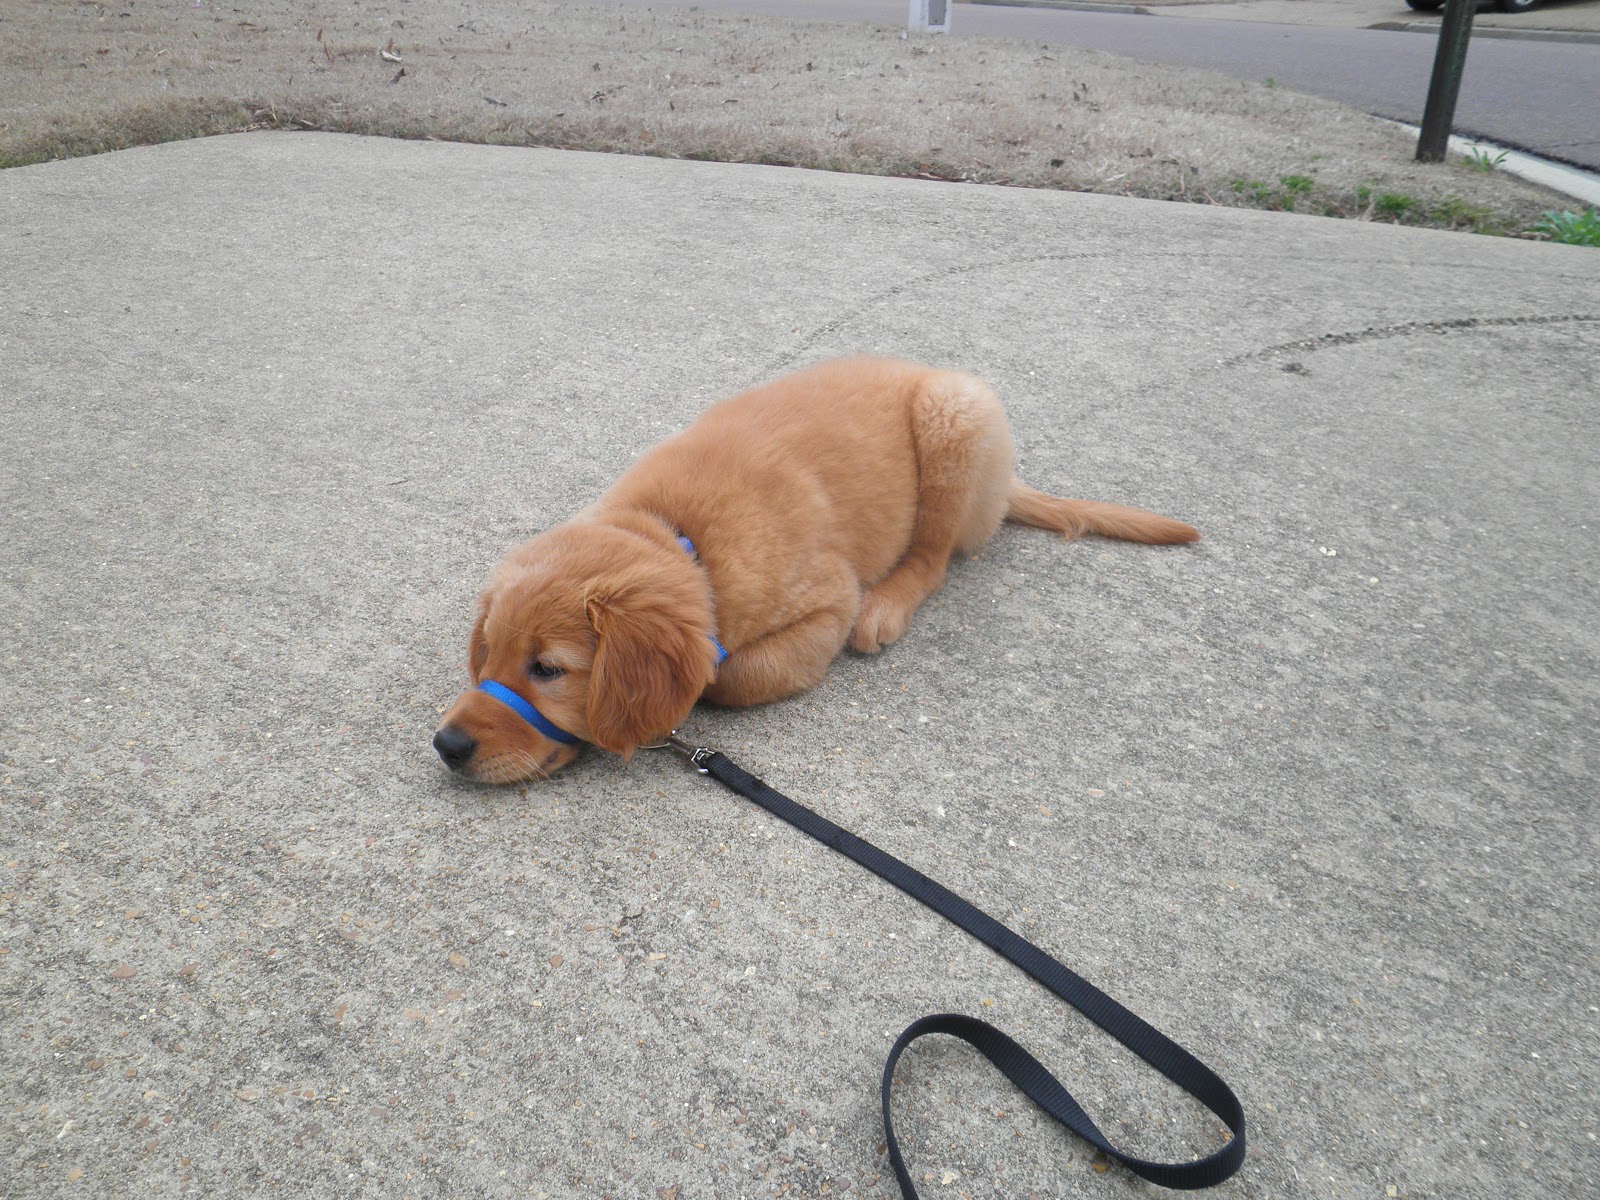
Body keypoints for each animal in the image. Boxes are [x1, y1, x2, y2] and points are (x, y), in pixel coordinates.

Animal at [433, 356, 1198, 782]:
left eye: (549, 670)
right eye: (488, 653)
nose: (447, 744)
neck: (676, 535)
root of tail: (1009, 481)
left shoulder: (827, 601)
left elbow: (727, 675)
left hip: (956, 413)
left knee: (934, 556)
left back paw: (889, 607)